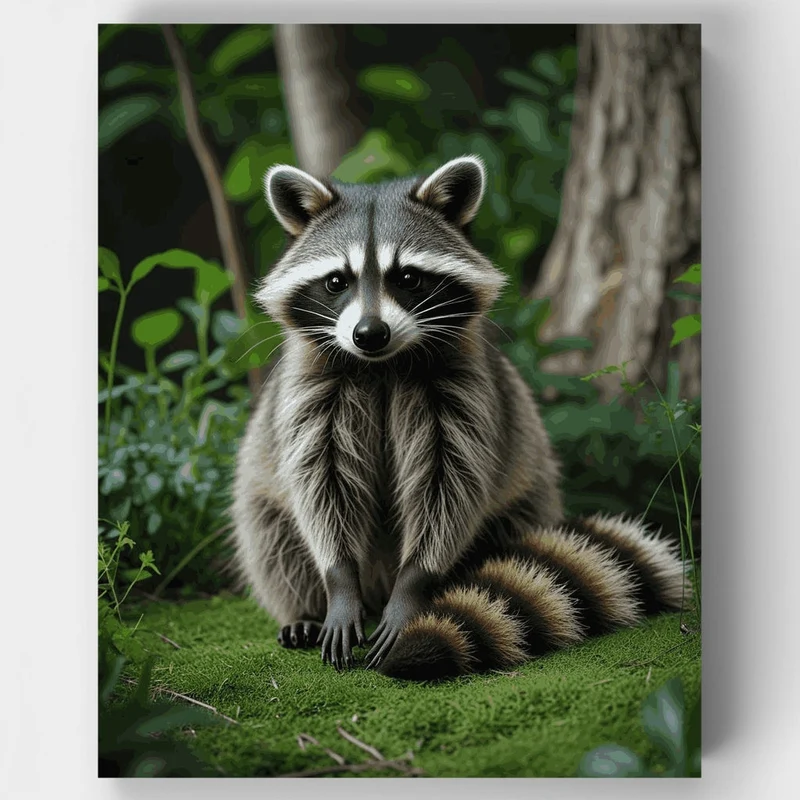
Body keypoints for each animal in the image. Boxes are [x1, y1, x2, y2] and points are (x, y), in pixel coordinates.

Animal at [230, 156, 690, 680]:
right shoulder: (310, 390)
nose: (370, 333)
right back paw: (305, 609)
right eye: (336, 281)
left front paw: (415, 586)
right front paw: (338, 582)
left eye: (408, 278)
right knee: (270, 534)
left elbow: (449, 485)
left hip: (524, 497)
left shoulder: (465, 389)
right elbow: (321, 485)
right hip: (261, 487)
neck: (382, 366)